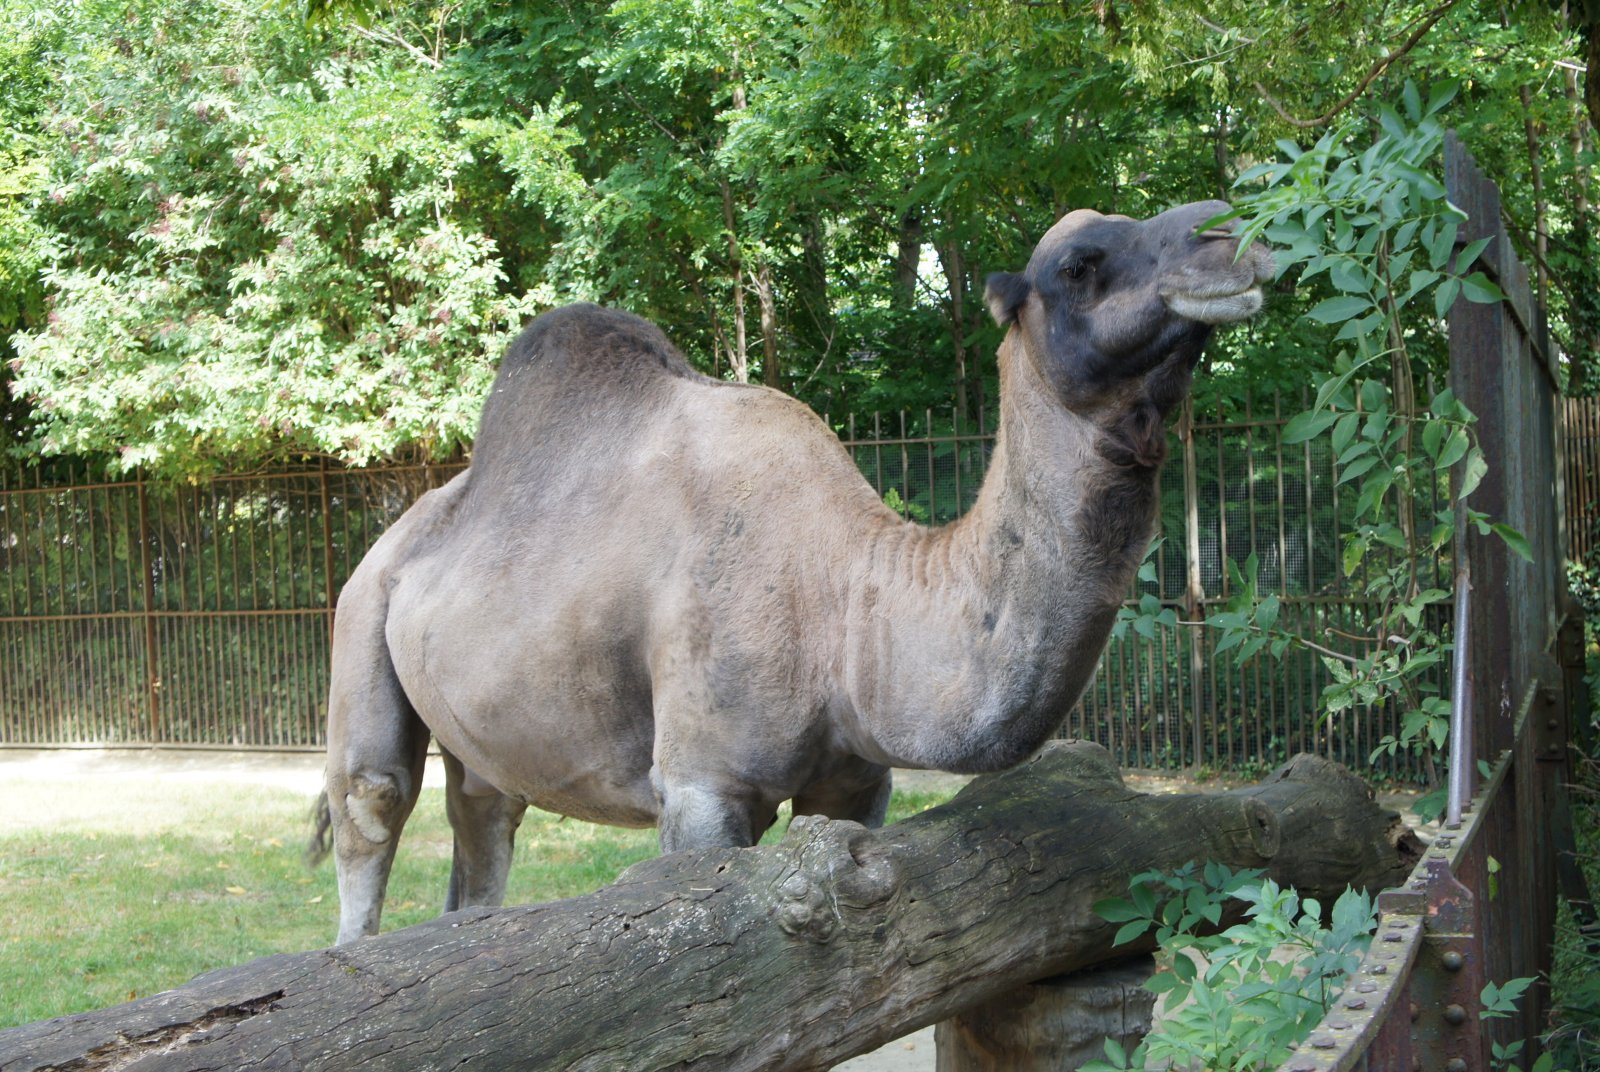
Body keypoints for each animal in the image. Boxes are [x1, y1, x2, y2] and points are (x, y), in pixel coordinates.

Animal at [315, 199, 1273, 940]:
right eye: (1080, 263)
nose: (1233, 231)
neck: (844, 597)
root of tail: (387, 545)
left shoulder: (855, 782)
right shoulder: (702, 784)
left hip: (480, 727)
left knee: (483, 821)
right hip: (358, 617)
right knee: (372, 804)